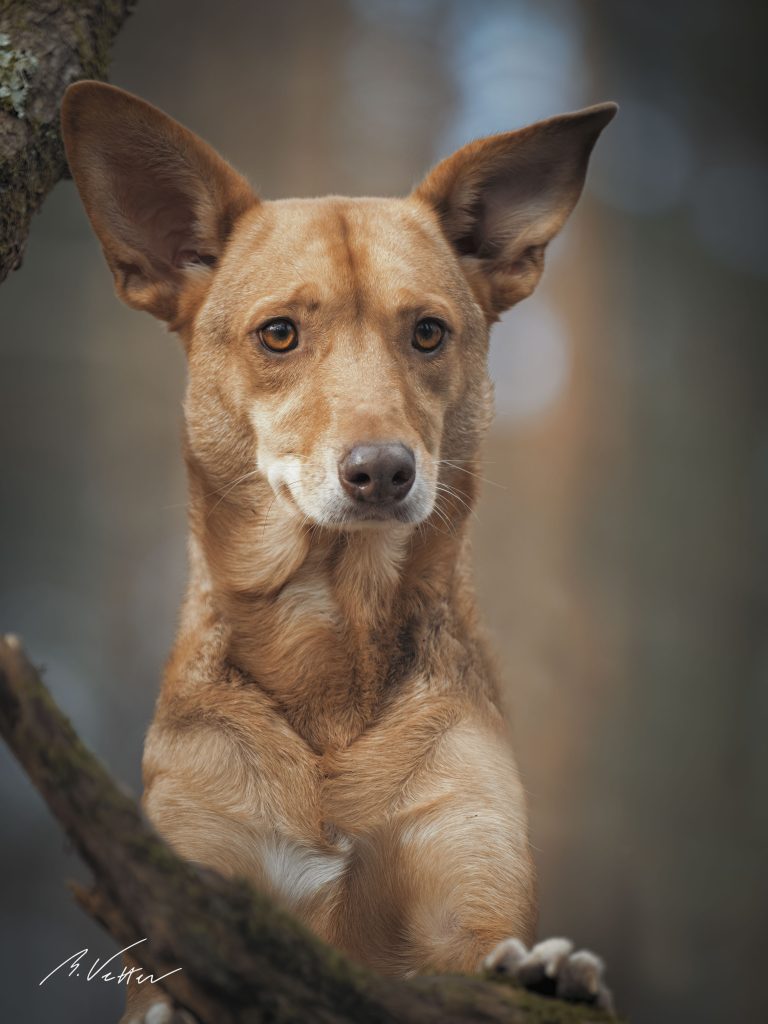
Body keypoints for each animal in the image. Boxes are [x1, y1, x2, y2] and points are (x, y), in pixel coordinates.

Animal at [61, 81, 618, 1024]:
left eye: (428, 333)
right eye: (279, 334)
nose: (383, 471)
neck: (330, 629)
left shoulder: (466, 878)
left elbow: (486, 955)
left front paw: (547, 971)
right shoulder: (187, 894)